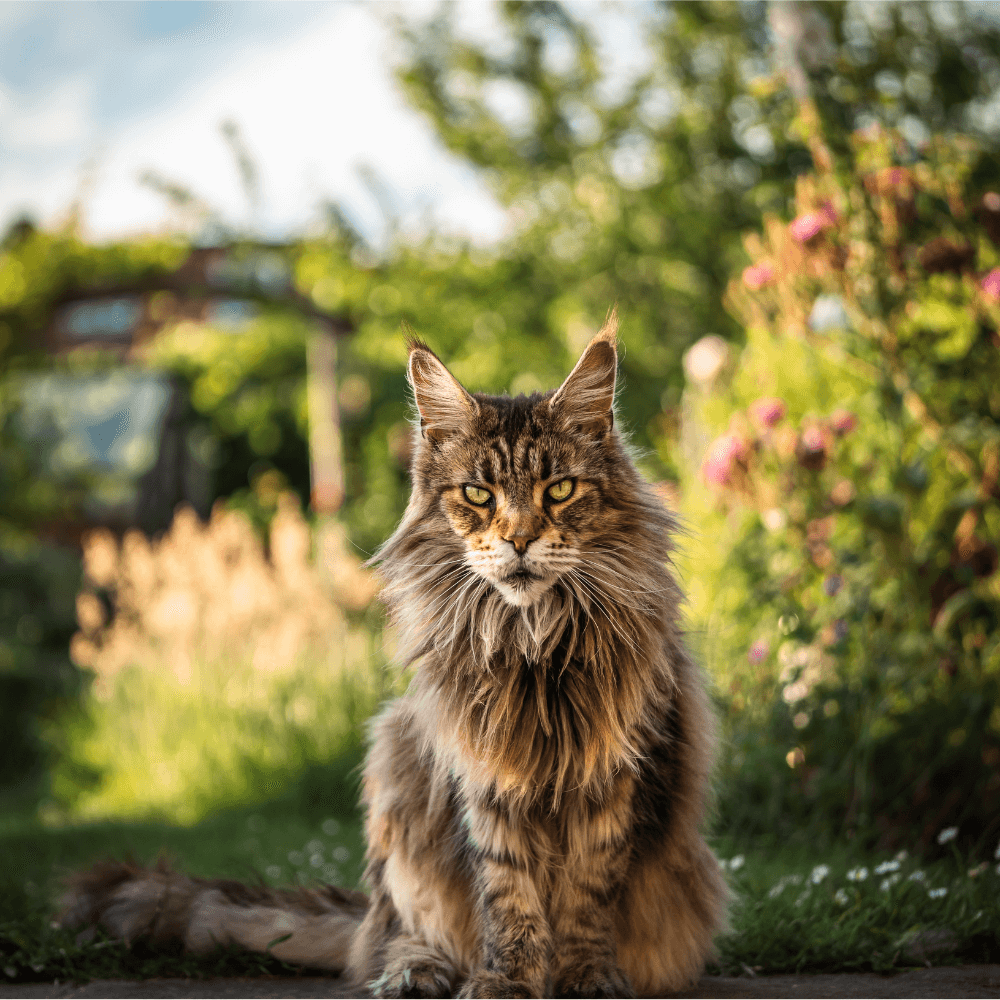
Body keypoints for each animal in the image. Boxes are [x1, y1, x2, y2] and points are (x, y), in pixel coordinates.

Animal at [64, 314, 736, 1000]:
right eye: (479, 494)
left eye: (560, 489)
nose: (520, 540)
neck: (530, 638)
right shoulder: (482, 779)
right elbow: (508, 898)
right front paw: (507, 981)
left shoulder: (621, 776)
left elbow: (586, 896)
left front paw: (586, 979)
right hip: (395, 760)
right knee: (402, 932)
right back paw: (417, 972)